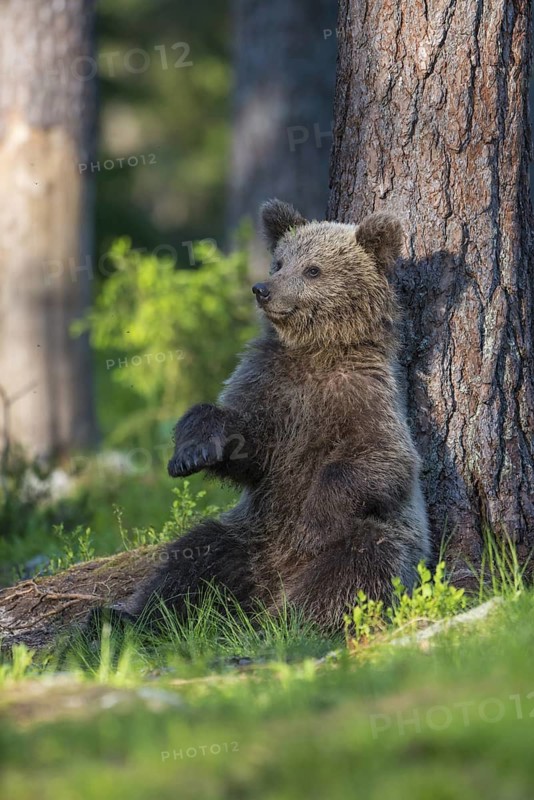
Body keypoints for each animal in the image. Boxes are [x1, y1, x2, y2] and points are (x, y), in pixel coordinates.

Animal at [111, 199, 430, 632]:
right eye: (279, 262)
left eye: (313, 269)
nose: (263, 289)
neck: (316, 352)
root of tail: (269, 588)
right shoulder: (270, 384)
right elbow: (247, 442)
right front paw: (192, 451)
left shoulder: (364, 393)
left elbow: (380, 458)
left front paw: (314, 521)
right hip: (248, 534)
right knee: (194, 556)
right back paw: (127, 617)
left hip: (373, 538)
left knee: (359, 563)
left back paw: (296, 620)